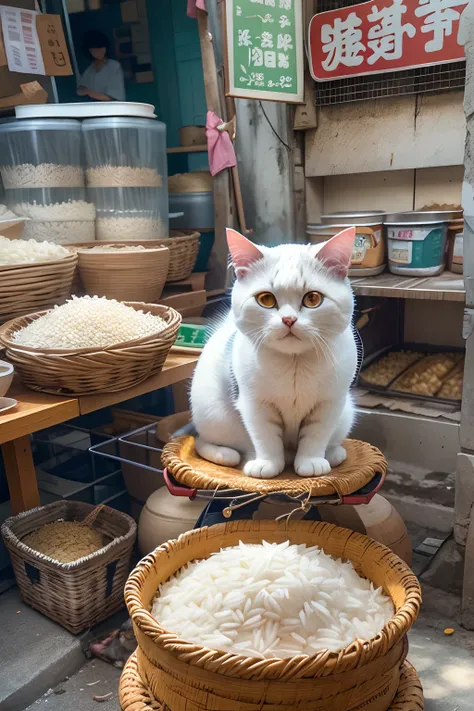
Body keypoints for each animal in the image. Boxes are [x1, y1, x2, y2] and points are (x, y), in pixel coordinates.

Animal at [191, 228, 358, 482]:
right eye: (266, 299)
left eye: (312, 299)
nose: (288, 319)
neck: (294, 365)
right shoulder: (255, 404)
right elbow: (265, 437)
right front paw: (266, 465)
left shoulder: (329, 403)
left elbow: (316, 435)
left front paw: (311, 463)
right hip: (211, 412)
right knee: (202, 441)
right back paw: (231, 455)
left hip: (346, 413)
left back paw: (332, 454)